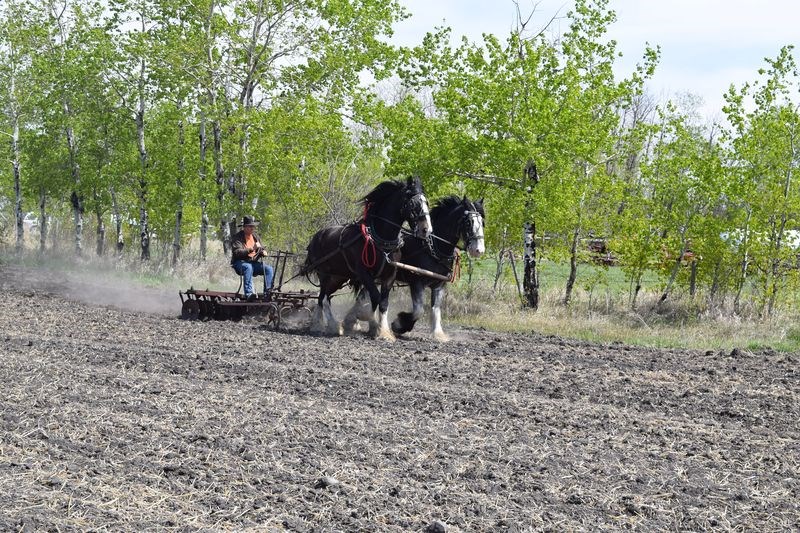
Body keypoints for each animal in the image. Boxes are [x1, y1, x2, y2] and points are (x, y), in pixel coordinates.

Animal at [302, 177, 432, 338]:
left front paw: (384, 332)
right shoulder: (363, 273)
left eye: (426, 202)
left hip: (338, 277)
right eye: (413, 204)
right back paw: (328, 325)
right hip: (324, 274)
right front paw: (368, 320)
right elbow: (375, 297)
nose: (426, 230)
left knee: (323, 297)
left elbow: (383, 303)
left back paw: (321, 325)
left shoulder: (389, 275)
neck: (380, 240)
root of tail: (316, 236)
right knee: (324, 298)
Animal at [390, 196, 484, 340]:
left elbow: (436, 308)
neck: (434, 247)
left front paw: (438, 333)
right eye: (468, 222)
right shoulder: (416, 282)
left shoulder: (439, 285)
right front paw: (399, 325)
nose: (479, 250)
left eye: (482, 222)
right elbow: (419, 310)